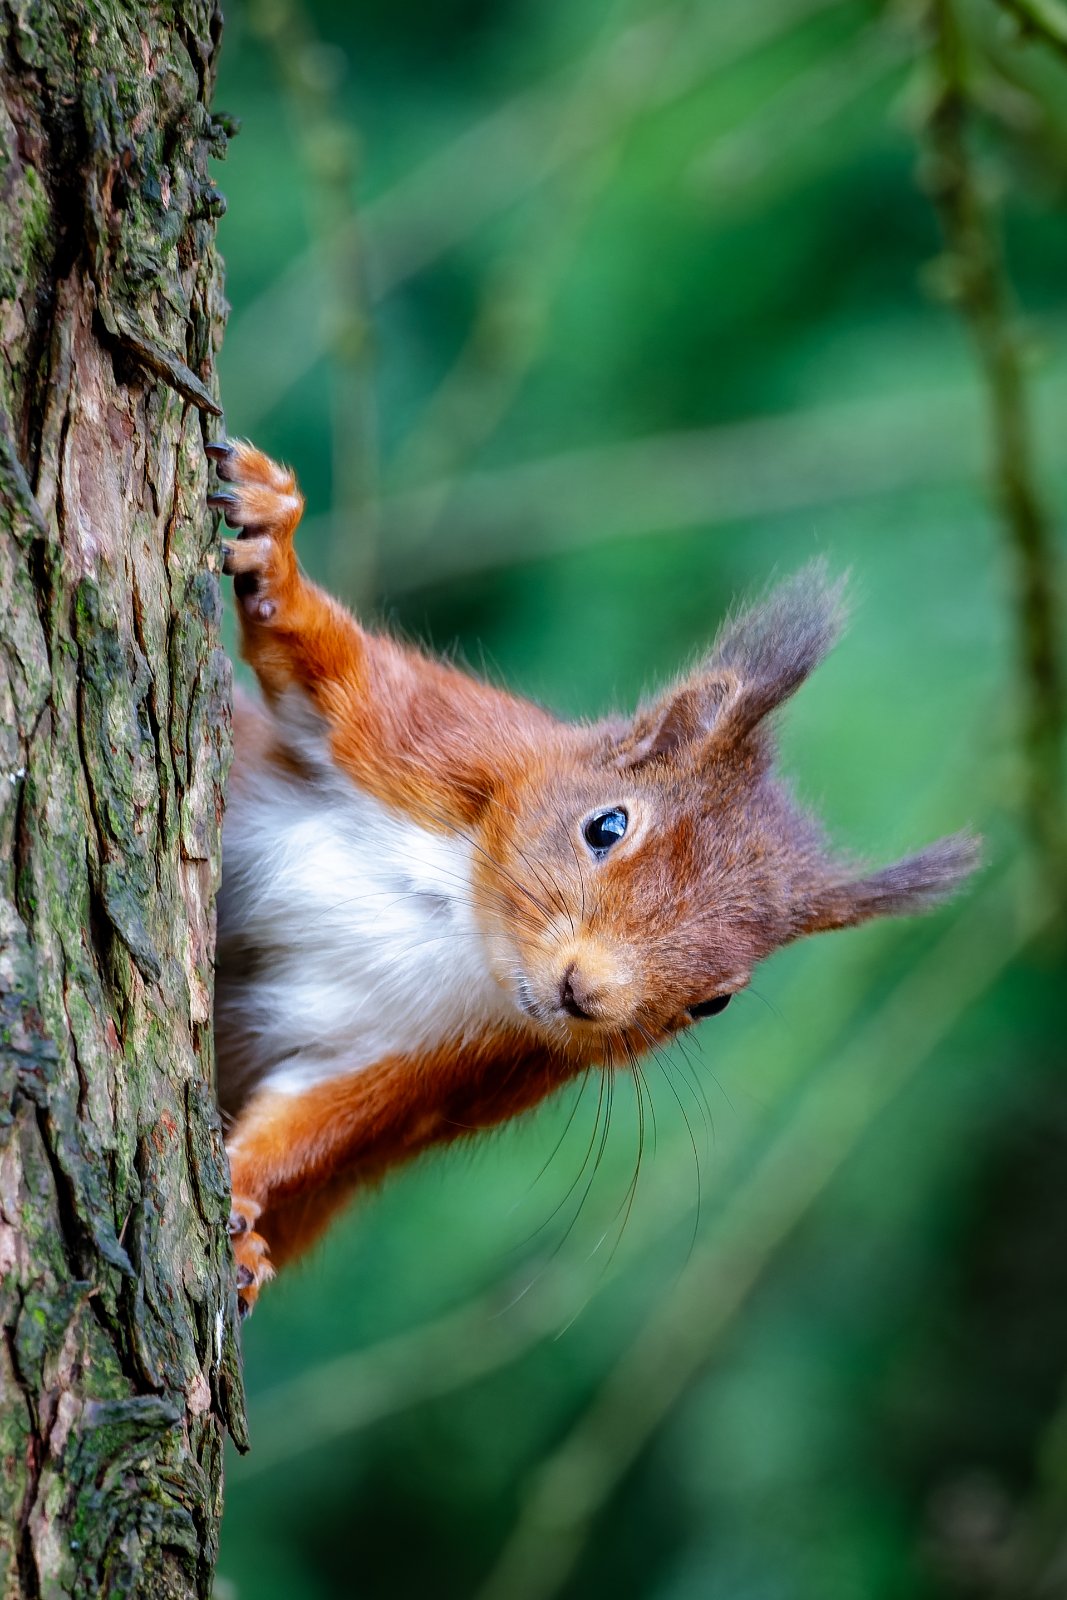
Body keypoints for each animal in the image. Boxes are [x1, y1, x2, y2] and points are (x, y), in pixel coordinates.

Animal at [207, 437, 978, 1316]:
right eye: (605, 827)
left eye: (713, 1003)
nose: (586, 993)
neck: (464, 928)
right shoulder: (437, 744)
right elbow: (331, 670)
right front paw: (274, 537)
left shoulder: (451, 1071)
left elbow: (316, 1126)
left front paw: (241, 1200)